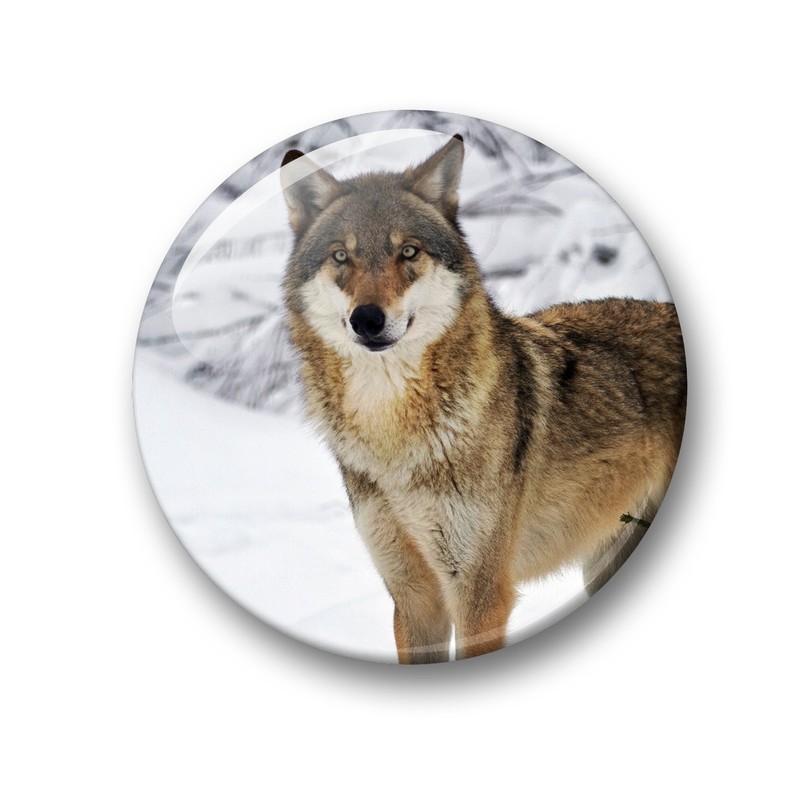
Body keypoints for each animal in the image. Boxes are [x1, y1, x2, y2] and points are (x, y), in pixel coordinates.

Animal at [280, 135, 686, 663]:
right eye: (340, 257)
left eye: (408, 251)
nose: (367, 319)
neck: (393, 435)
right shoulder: (413, 597)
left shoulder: (480, 594)